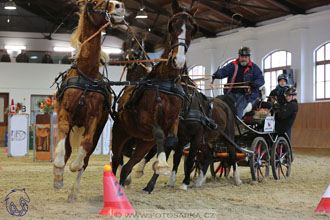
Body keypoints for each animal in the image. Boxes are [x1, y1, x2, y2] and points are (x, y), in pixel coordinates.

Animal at [52, 0, 125, 202]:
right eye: (94, 3)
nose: (119, 5)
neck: (87, 75)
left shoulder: (93, 119)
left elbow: (85, 148)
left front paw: (73, 167)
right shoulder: (65, 114)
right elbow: (61, 149)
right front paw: (58, 172)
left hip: (98, 127)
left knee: (86, 154)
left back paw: (72, 192)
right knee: (68, 149)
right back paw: (59, 179)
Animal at [111, 0, 199, 186]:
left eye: (193, 28)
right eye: (172, 25)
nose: (178, 60)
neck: (167, 82)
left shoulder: (173, 121)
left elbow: (171, 140)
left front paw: (159, 165)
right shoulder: (146, 122)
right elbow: (159, 133)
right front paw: (160, 165)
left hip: (143, 142)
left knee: (127, 166)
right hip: (121, 133)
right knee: (116, 160)